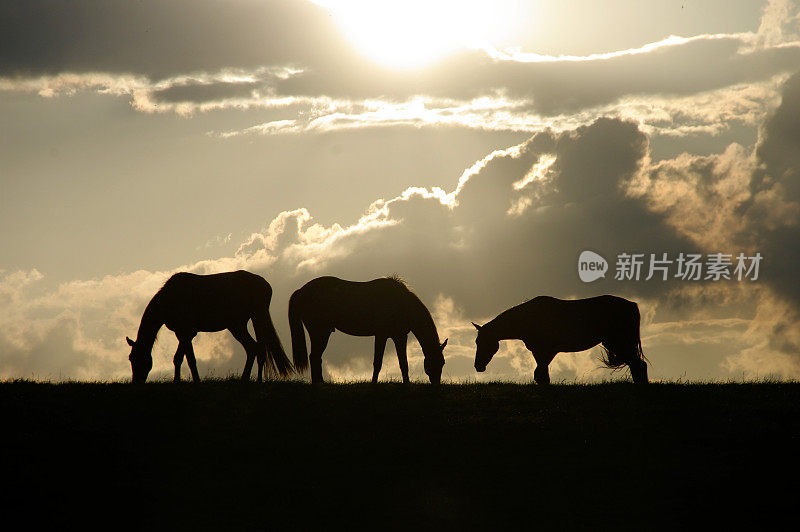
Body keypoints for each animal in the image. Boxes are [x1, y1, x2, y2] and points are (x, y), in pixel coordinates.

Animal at [123, 270, 290, 382]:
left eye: (138, 358)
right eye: (130, 358)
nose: (136, 382)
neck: (169, 299)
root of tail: (266, 285)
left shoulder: (186, 333)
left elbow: (181, 358)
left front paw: (182, 381)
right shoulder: (183, 334)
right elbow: (186, 359)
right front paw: (190, 380)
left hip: (243, 323)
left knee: (254, 348)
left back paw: (249, 379)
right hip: (240, 324)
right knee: (255, 348)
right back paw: (249, 379)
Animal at [290, 276, 450, 384]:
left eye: (443, 363)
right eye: (433, 363)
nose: (436, 385)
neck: (401, 303)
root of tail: (301, 291)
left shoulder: (399, 336)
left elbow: (403, 363)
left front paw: (406, 384)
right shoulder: (381, 335)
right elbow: (378, 362)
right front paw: (374, 383)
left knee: (316, 357)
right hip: (319, 332)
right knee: (314, 357)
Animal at [472, 296, 648, 382]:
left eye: (482, 342)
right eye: (476, 342)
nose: (478, 366)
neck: (529, 318)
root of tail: (632, 305)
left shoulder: (546, 351)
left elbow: (541, 374)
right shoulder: (541, 352)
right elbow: (540, 374)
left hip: (618, 342)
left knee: (638, 365)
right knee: (636, 364)